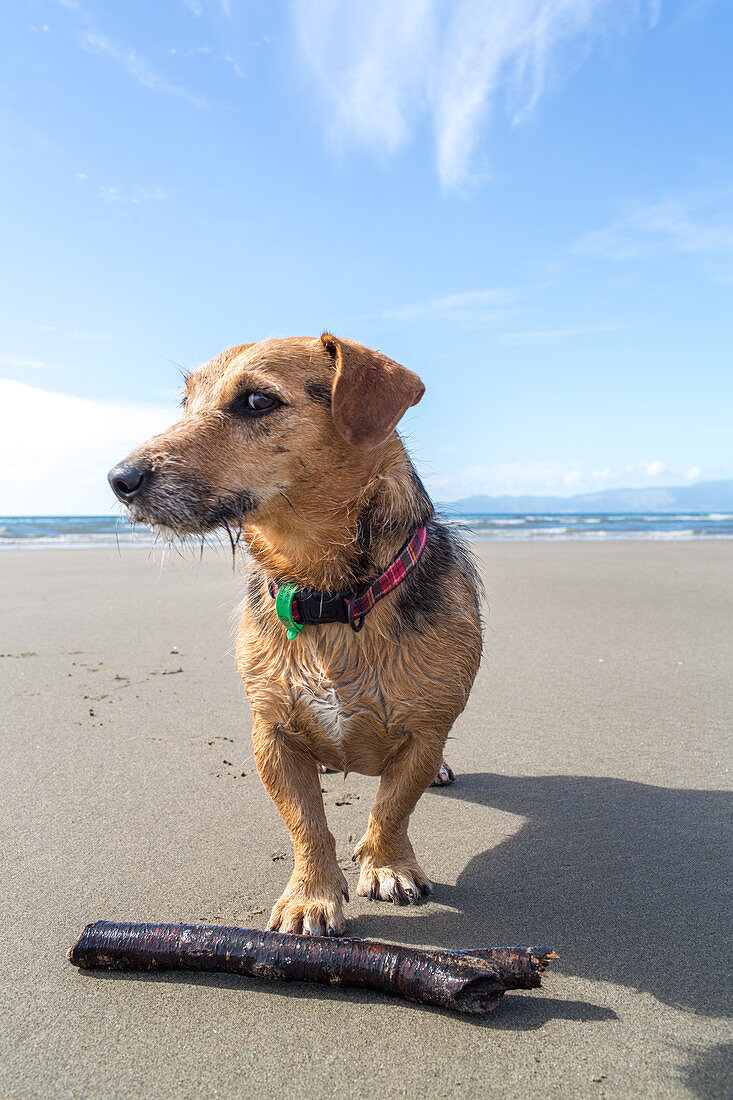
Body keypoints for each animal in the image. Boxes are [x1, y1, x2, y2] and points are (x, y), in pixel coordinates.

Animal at [108, 332, 482, 937]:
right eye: (184, 402)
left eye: (258, 401)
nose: (119, 480)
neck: (327, 597)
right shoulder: (272, 735)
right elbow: (307, 823)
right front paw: (311, 896)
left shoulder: (424, 734)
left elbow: (393, 806)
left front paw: (387, 865)